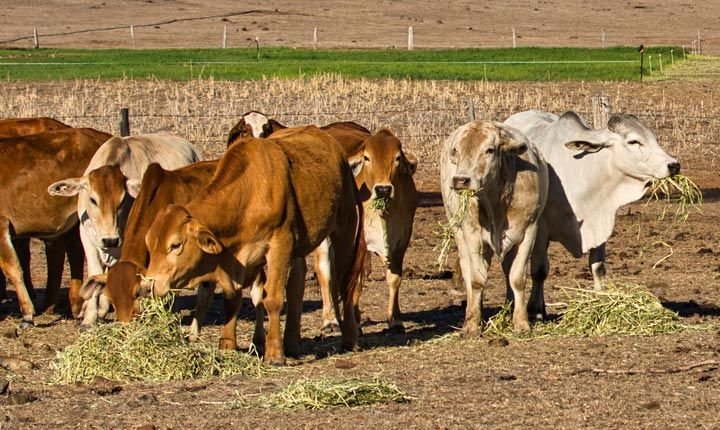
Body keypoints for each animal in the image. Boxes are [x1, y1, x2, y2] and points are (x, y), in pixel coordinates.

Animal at [141, 126, 365, 365]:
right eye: (150, 244)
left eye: (175, 245)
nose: (147, 287)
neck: (250, 193)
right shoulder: (239, 259)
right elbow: (232, 299)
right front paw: (227, 344)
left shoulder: (280, 244)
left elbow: (272, 298)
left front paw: (274, 353)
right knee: (297, 282)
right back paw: (292, 343)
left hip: (345, 230)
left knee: (346, 282)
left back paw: (349, 337)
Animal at [441, 120, 548, 334]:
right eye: (457, 150)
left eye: (489, 150)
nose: (460, 180)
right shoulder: (472, 234)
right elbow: (476, 280)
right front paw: (472, 325)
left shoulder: (529, 231)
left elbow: (517, 278)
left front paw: (521, 322)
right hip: (458, 231)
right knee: (468, 271)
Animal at [503, 110, 680, 319]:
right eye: (633, 141)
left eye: (653, 137)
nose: (674, 165)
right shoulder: (540, 230)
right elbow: (539, 271)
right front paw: (536, 311)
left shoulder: (600, 223)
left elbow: (597, 267)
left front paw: (601, 300)